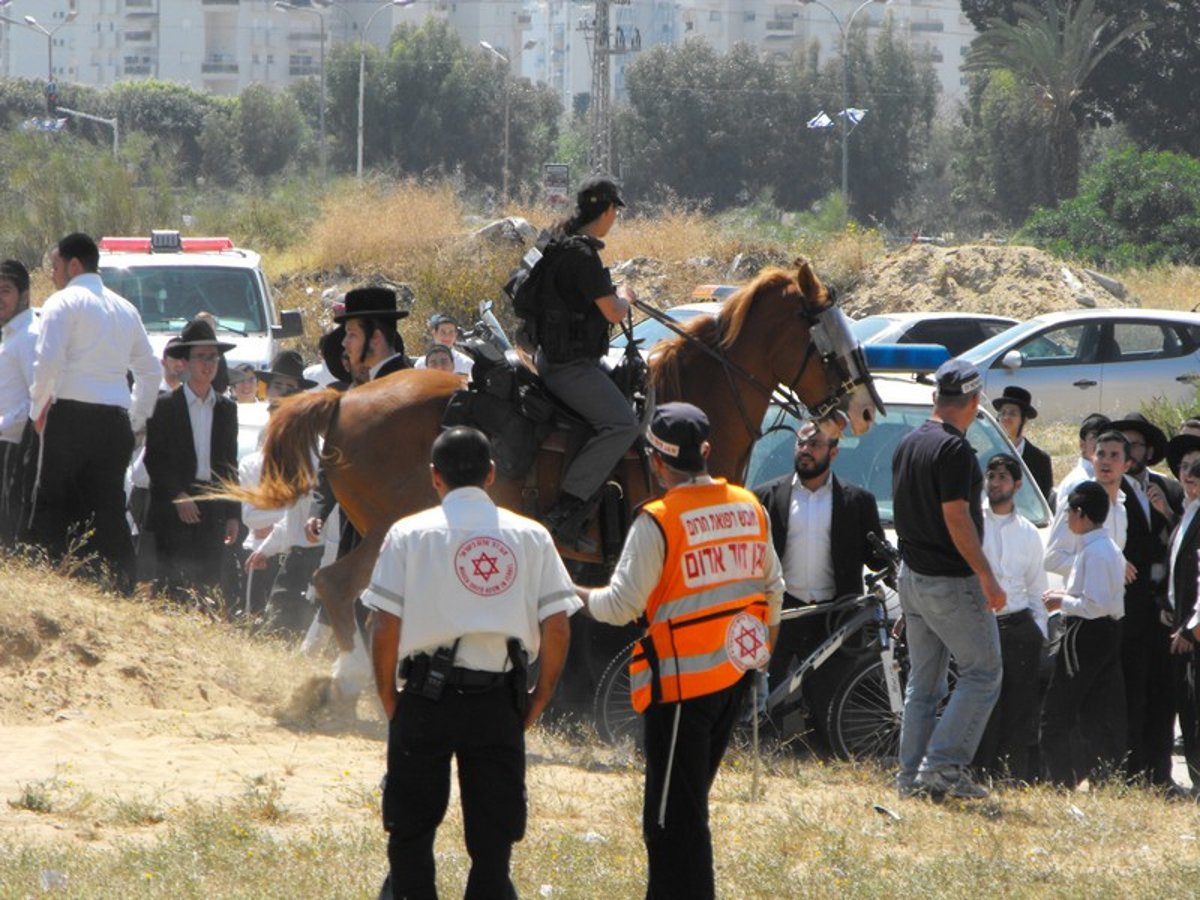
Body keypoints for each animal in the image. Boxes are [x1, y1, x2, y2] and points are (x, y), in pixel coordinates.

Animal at [234, 260, 878, 672]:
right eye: (826, 339)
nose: (867, 409)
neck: (685, 408)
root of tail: (345, 399)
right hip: (390, 527)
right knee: (337, 589)